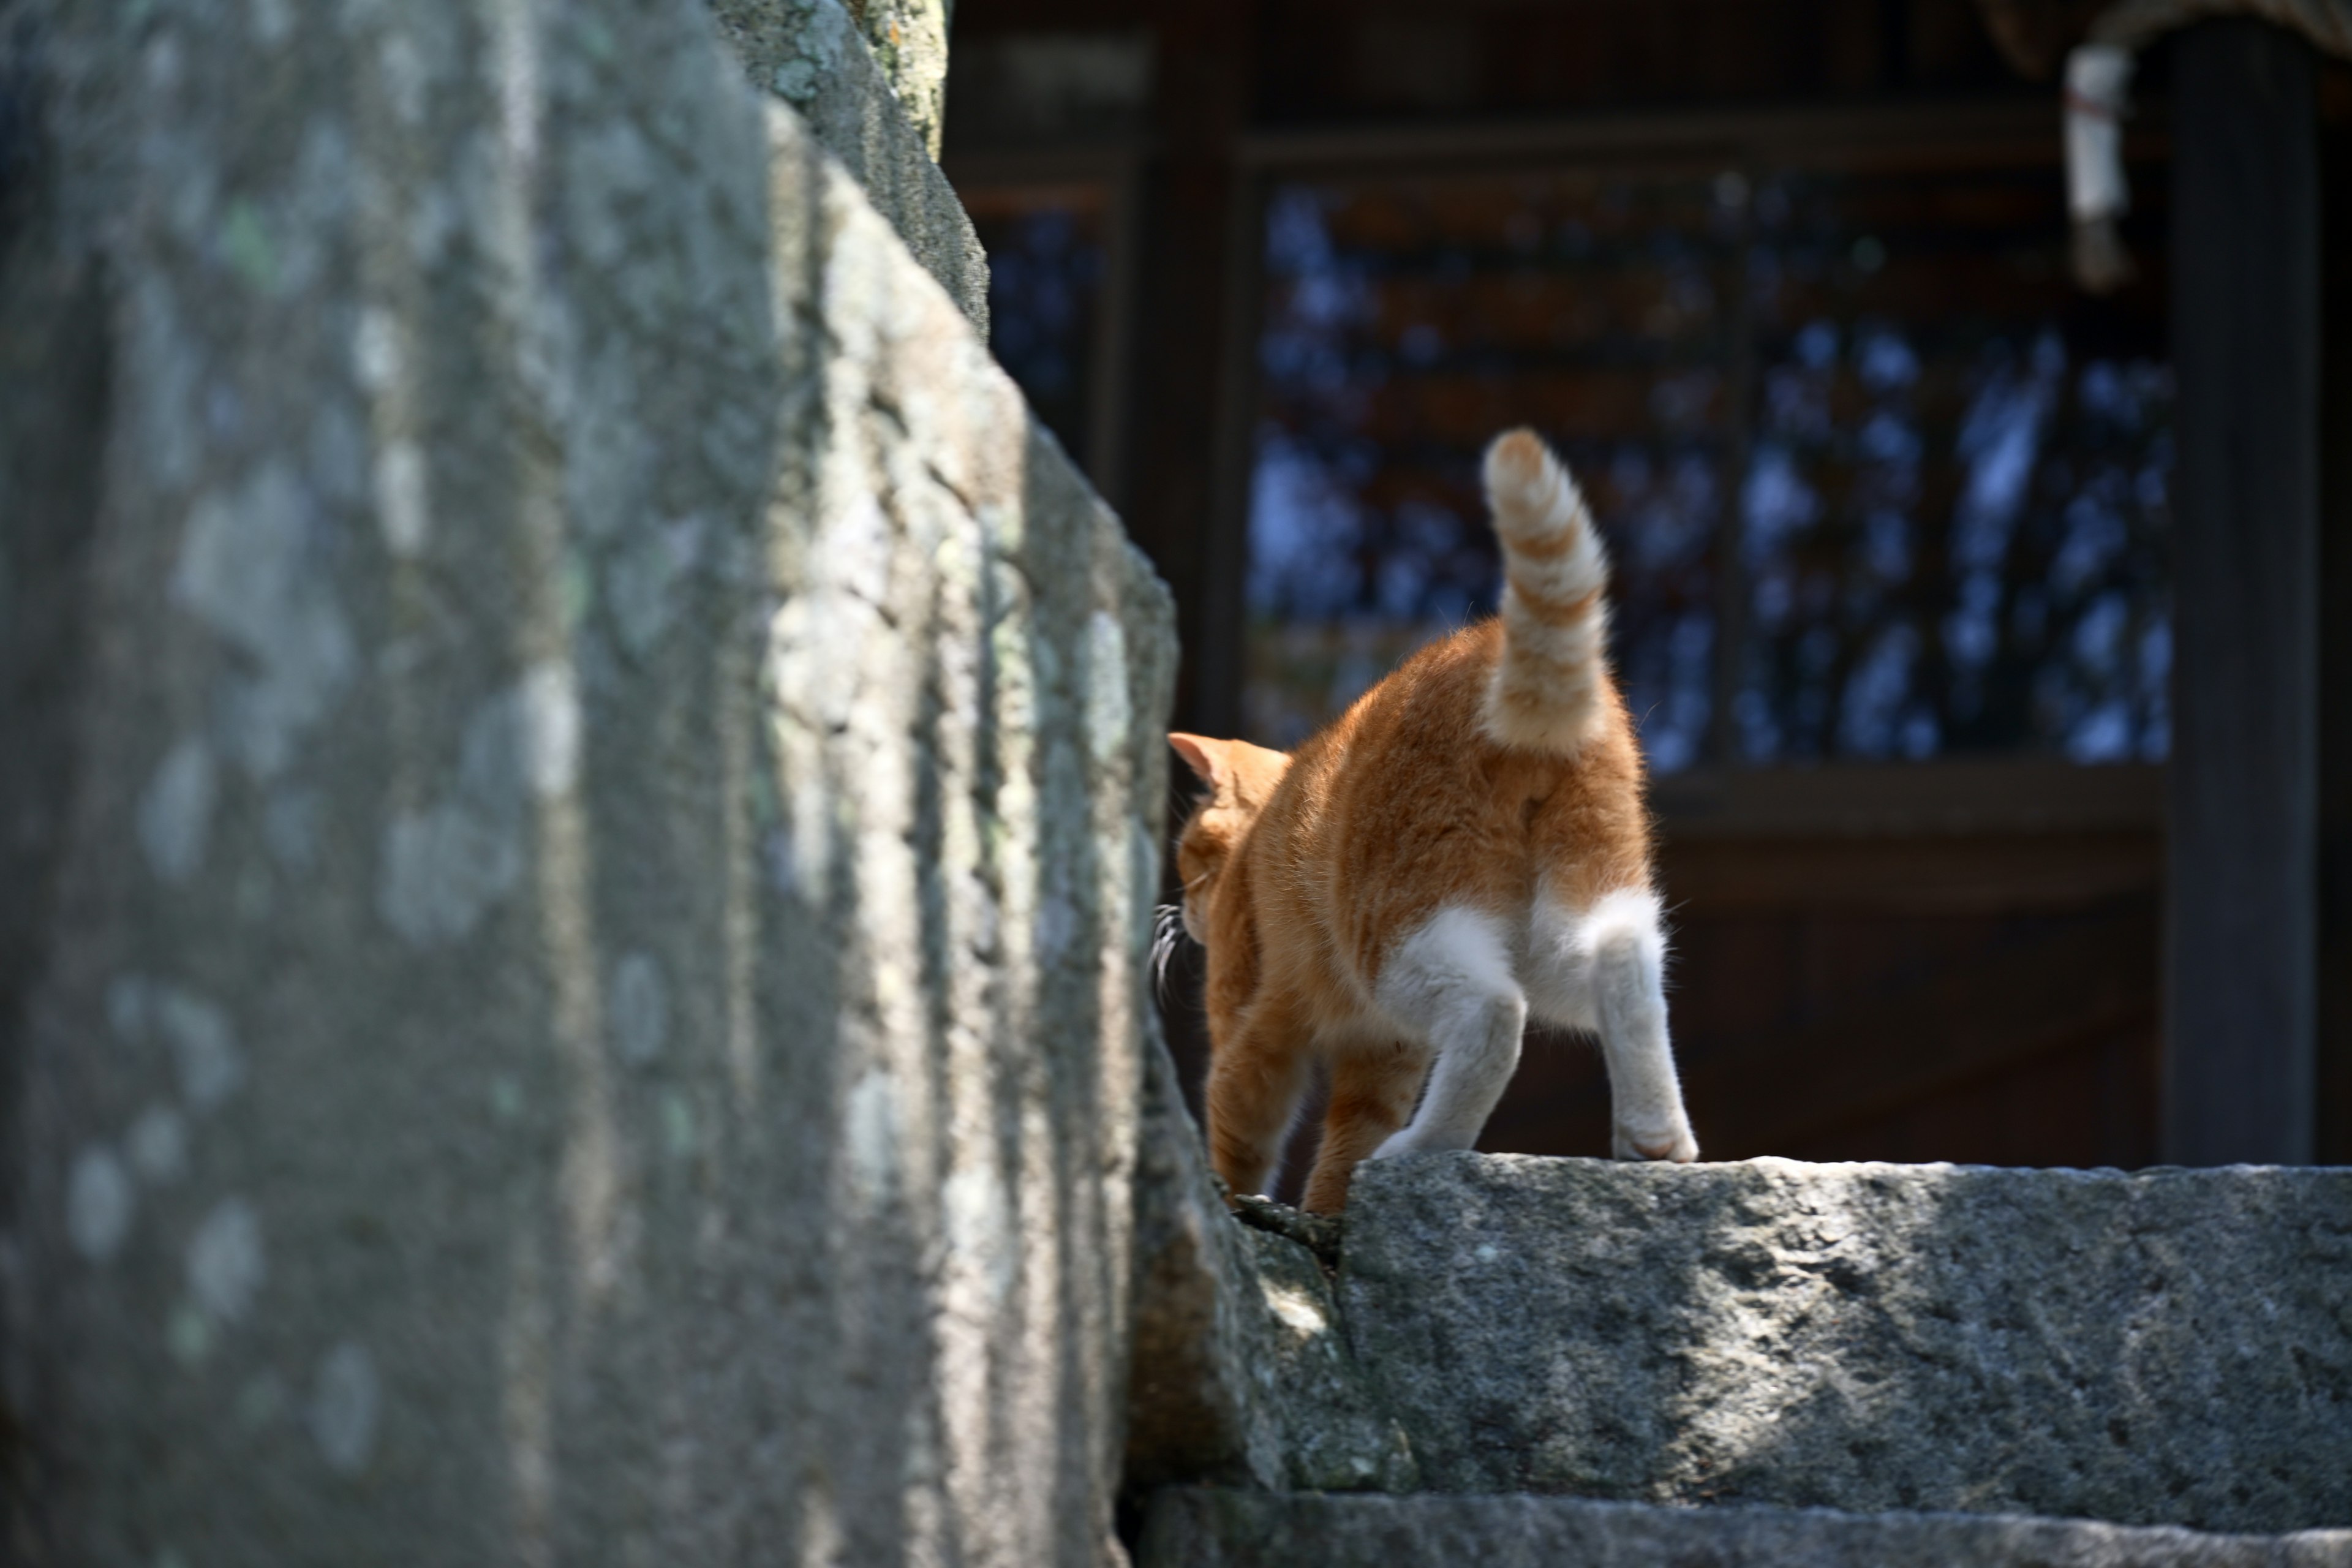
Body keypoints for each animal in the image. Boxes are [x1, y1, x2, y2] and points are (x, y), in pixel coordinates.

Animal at [1171, 425, 1693, 1213]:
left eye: (1186, 856)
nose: (1181, 910)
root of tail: (1486, 652)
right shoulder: (1385, 1048)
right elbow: (1350, 1132)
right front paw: (1332, 1210)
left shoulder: (1251, 1020)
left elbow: (1241, 1127)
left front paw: (1238, 1204)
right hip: (1568, 901)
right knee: (1623, 965)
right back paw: (1655, 1136)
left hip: (1397, 925)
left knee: (1493, 1014)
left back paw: (1423, 1149)